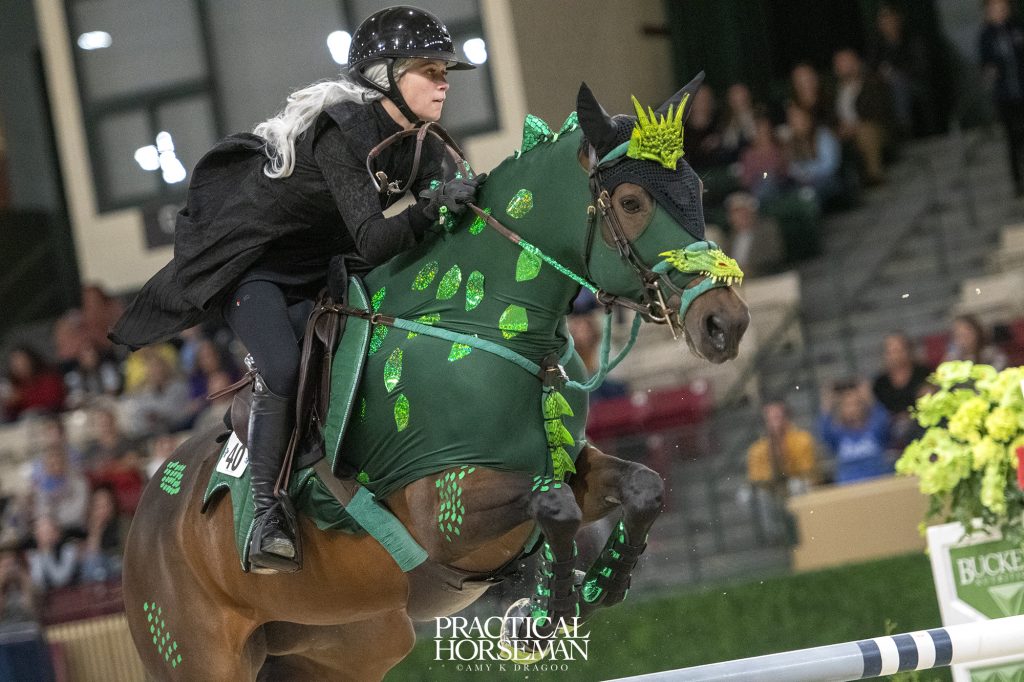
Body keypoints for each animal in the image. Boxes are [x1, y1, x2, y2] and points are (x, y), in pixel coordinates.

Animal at [122, 76, 750, 680]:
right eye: (631, 200)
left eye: (697, 189)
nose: (726, 323)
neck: (483, 322)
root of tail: (142, 519)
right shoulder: (445, 510)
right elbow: (554, 507)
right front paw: (540, 616)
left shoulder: (568, 465)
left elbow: (643, 486)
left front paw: (592, 591)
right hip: (196, 655)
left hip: (346, 646)